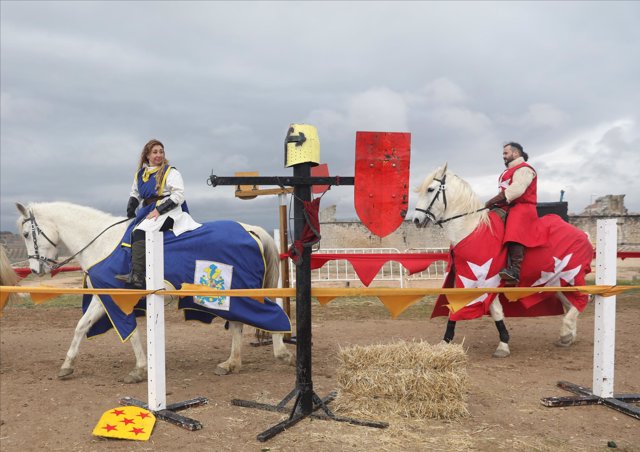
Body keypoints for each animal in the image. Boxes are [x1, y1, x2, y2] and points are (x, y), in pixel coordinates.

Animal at [15, 201, 294, 382]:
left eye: (28, 233)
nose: (35, 269)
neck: (103, 243)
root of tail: (251, 229)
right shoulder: (102, 298)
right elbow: (81, 327)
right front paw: (67, 365)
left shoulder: (118, 299)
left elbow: (131, 334)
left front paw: (139, 369)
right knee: (237, 323)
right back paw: (231, 363)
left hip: (241, 292)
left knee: (270, 313)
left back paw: (281, 353)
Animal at [412, 164, 592, 358]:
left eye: (430, 189)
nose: (416, 220)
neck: (471, 229)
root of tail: (583, 233)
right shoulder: (466, 278)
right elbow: (460, 308)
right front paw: (445, 342)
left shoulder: (484, 280)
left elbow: (491, 310)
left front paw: (503, 344)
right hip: (555, 282)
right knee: (571, 303)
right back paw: (568, 336)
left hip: (571, 276)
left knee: (583, 299)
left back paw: (566, 331)